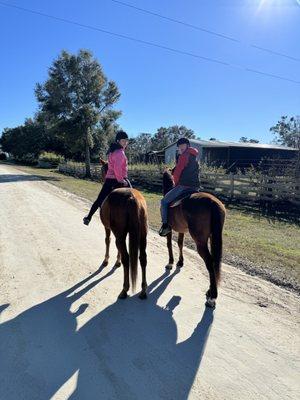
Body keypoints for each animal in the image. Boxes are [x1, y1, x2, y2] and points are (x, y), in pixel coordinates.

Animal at [99, 159, 149, 300]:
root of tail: (131, 197)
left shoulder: (108, 228)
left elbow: (107, 240)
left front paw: (107, 260)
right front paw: (117, 261)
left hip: (120, 235)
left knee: (127, 258)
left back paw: (124, 289)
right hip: (142, 235)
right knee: (143, 258)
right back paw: (143, 290)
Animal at [162, 170, 225, 308]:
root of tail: (212, 203)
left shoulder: (169, 229)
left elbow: (169, 244)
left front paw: (170, 262)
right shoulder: (181, 230)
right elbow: (180, 244)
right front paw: (180, 262)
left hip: (200, 242)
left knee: (210, 262)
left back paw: (212, 297)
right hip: (213, 237)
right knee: (214, 263)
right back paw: (210, 291)